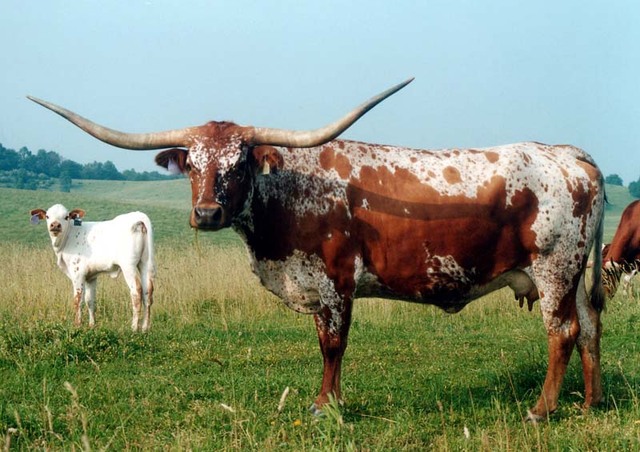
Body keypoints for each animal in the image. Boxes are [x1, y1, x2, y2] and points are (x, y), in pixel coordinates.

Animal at [28, 79, 606, 421]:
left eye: (238, 164)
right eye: (192, 165)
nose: (207, 214)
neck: (288, 191)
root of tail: (570, 155)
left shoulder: (335, 282)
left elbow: (332, 345)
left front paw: (325, 406)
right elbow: (325, 345)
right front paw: (332, 401)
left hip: (554, 269)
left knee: (562, 334)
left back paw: (542, 410)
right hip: (574, 275)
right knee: (590, 328)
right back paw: (591, 402)